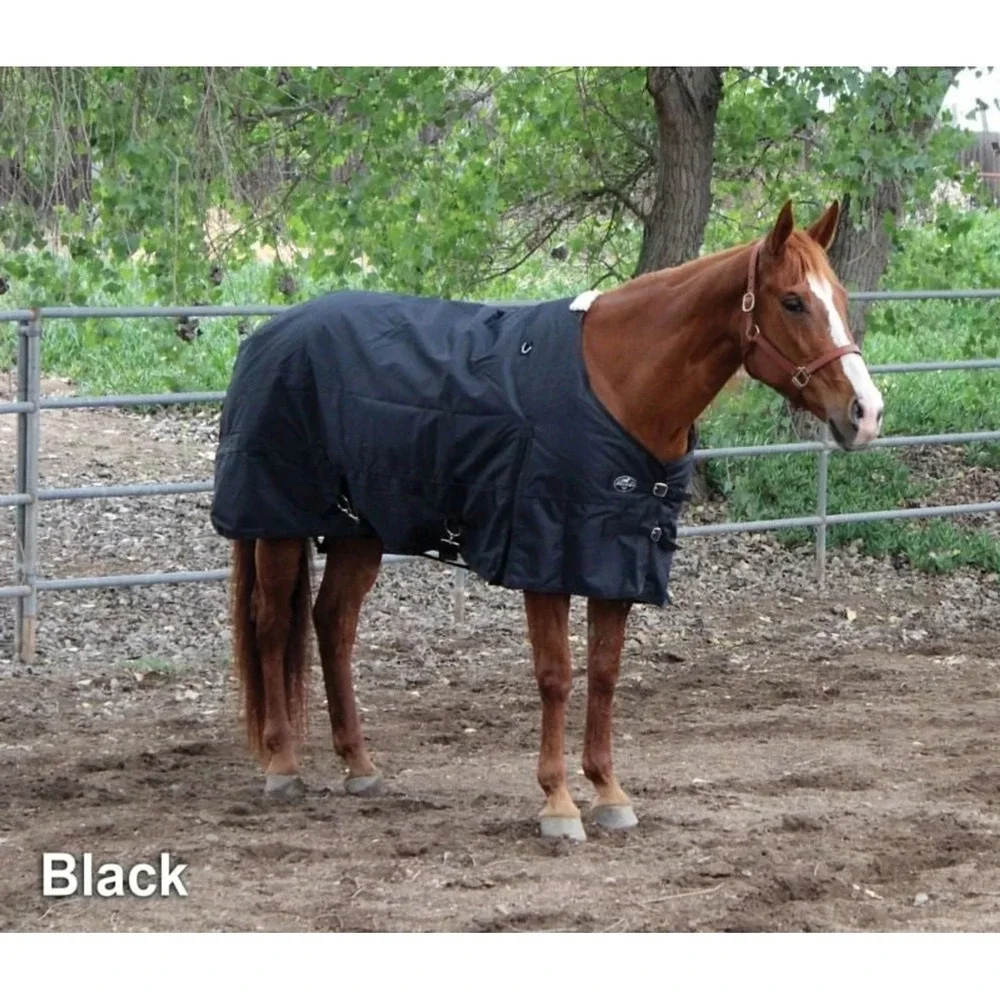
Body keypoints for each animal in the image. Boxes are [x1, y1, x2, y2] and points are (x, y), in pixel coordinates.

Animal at [213, 200, 884, 842]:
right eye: (793, 301)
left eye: (839, 297)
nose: (867, 412)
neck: (619, 387)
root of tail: (268, 335)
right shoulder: (544, 560)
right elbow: (557, 675)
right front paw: (559, 804)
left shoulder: (617, 561)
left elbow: (606, 673)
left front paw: (609, 793)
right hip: (277, 523)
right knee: (272, 625)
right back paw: (282, 765)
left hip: (360, 532)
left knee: (333, 624)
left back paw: (359, 765)